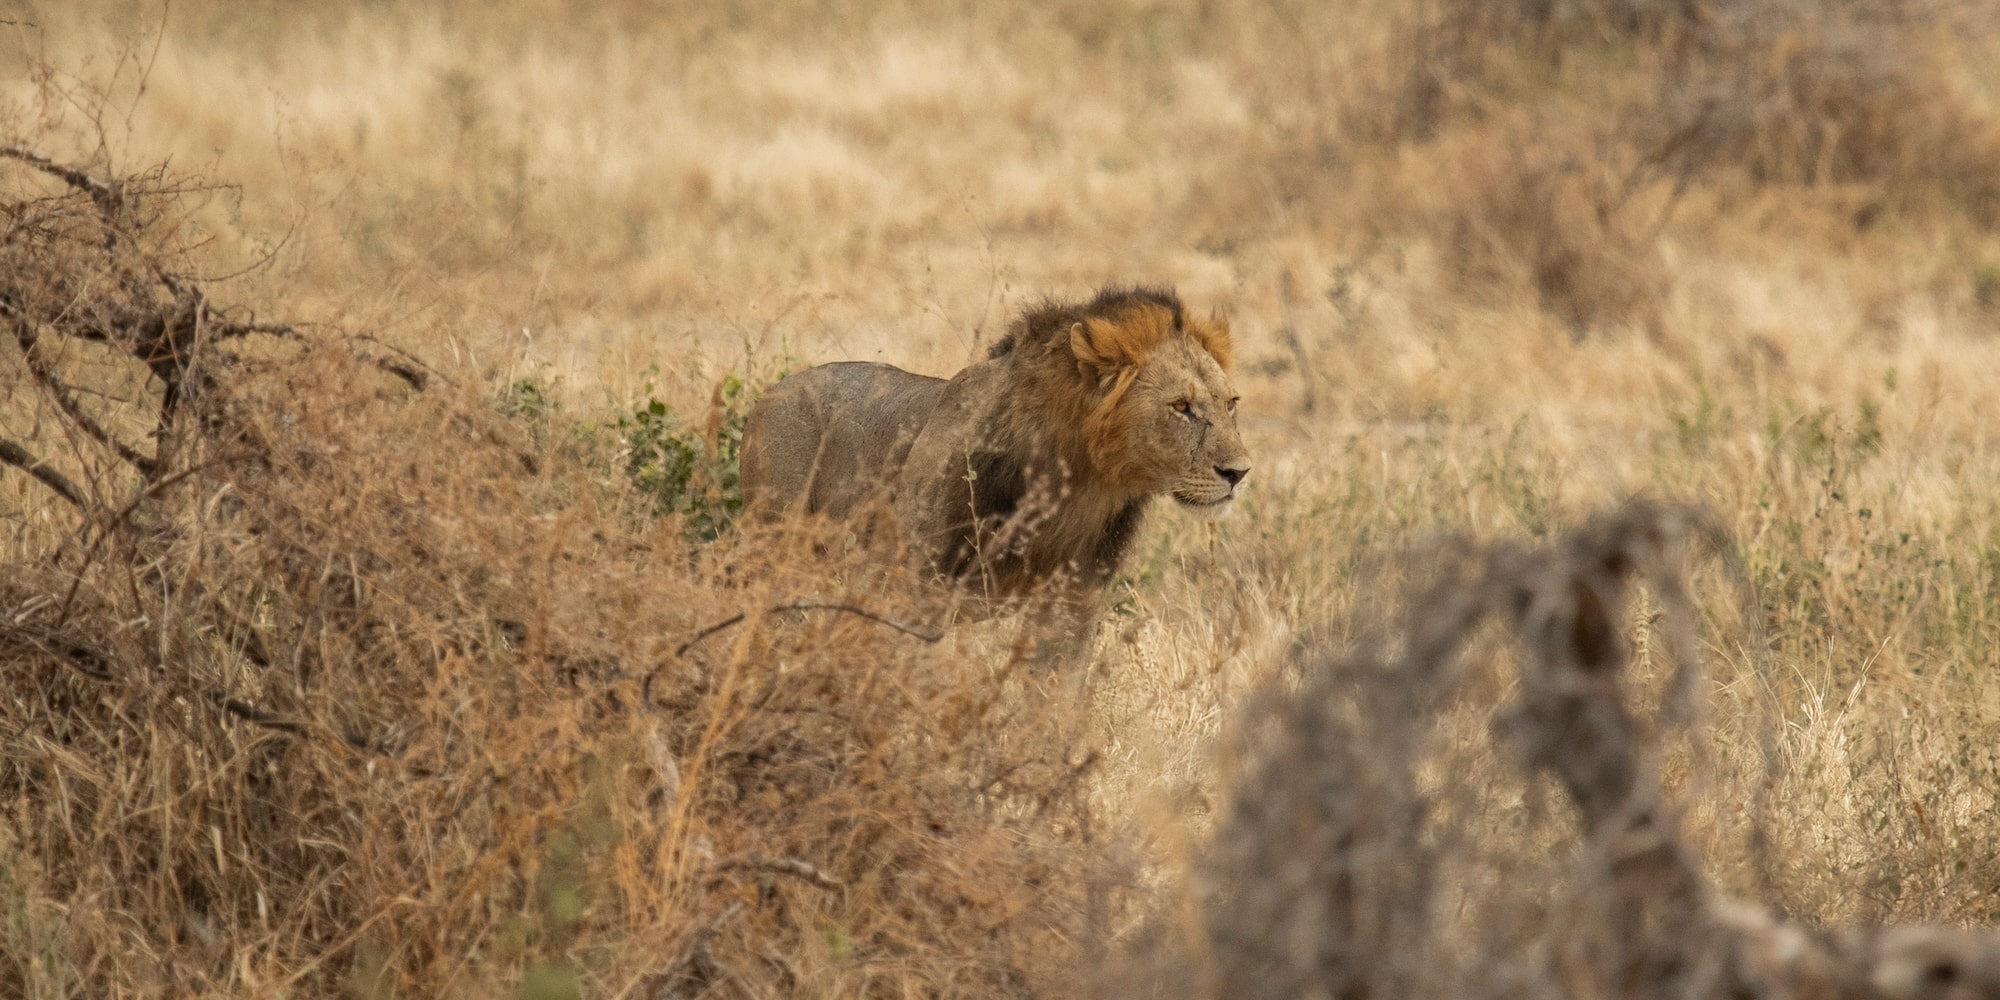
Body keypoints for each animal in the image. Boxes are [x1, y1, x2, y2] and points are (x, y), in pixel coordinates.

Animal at [739, 285, 1249, 652]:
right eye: (1181, 407)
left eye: (1230, 404)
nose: (1240, 473)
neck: (1082, 487)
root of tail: (771, 391)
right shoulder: (918, 593)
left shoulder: (1070, 611)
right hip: (779, 551)